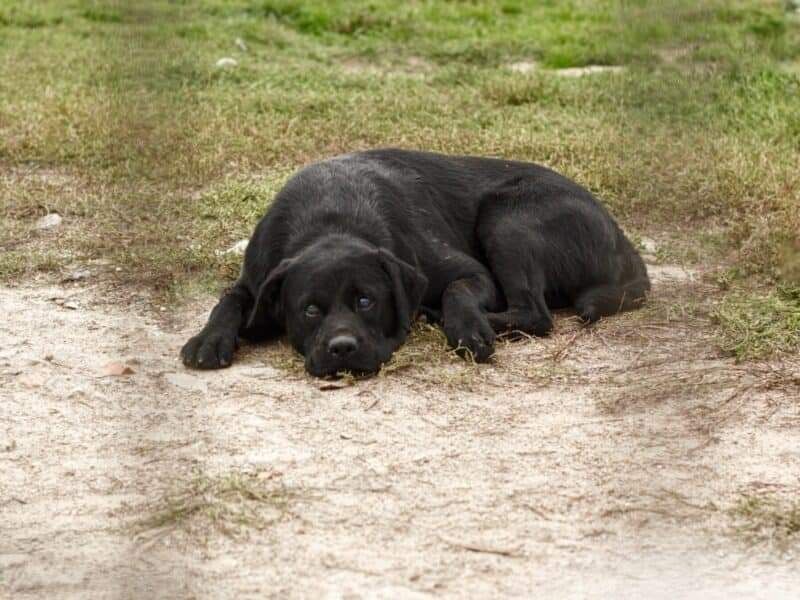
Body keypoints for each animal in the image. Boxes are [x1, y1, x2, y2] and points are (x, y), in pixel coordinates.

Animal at [183, 148, 648, 378]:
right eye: (309, 310)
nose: (342, 349)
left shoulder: (468, 272)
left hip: (506, 219)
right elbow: (227, 301)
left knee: (535, 314)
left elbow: (458, 291)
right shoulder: (256, 279)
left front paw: (466, 328)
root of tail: (622, 240)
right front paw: (209, 339)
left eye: (367, 301)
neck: (330, 219)